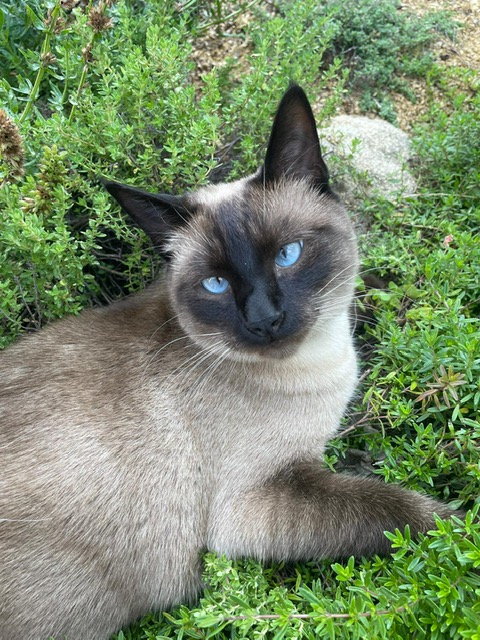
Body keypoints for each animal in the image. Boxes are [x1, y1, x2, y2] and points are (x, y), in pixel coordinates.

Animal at [0, 86, 458, 640]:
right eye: (216, 284)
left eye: (288, 254)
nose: (265, 319)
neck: (322, 363)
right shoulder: (255, 503)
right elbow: (405, 510)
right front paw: (463, 534)